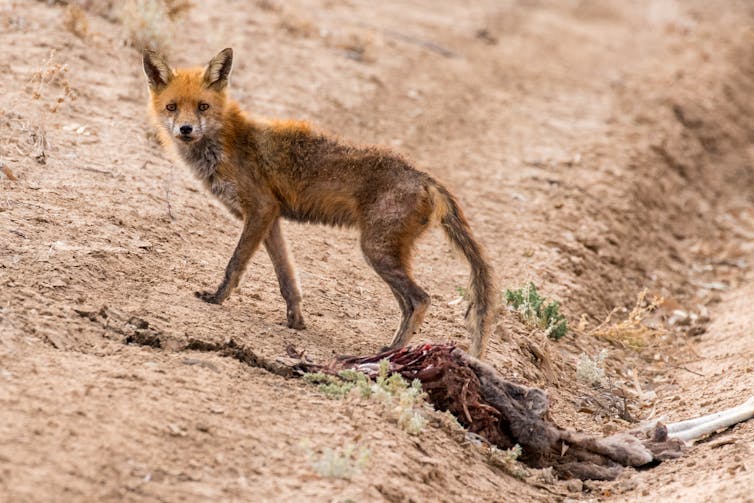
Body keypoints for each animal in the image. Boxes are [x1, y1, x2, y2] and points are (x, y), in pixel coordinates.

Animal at [142, 46, 496, 354]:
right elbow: (287, 278)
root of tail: (425, 177)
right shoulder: (270, 219)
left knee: (420, 299)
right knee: (409, 302)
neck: (224, 143)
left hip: (376, 251)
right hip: (384, 254)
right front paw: (296, 321)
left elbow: (235, 264)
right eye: (172, 107)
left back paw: (391, 351)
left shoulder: (259, 209)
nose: (185, 129)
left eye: (202, 107)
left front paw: (217, 299)